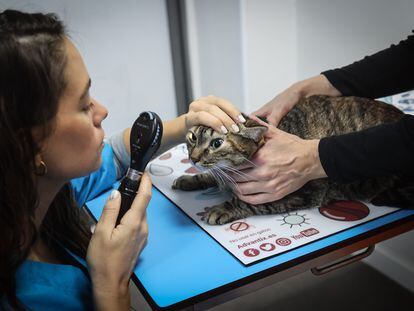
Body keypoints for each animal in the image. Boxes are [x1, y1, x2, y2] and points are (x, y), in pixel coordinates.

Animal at [172, 96, 414, 225]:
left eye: (216, 143)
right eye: (192, 137)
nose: (193, 158)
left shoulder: (297, 194)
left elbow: (250, 203)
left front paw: (223, 208)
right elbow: (212, 176)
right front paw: (190, 180)